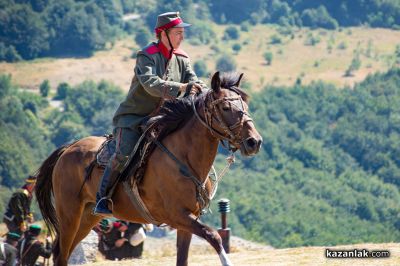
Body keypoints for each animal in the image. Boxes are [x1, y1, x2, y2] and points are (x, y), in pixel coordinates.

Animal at [35, 71, 262, 266]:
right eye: (225, 108)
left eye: (245, 106)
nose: (254, 142)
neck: (183, 158)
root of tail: (68, 149)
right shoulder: (178, 216)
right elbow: (214, 236)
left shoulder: (187, 222)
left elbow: (184, 258)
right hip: (70, 214)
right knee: (61, 254)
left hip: (88, 217)